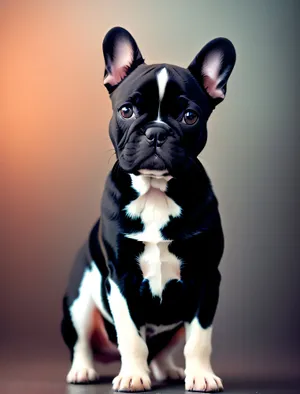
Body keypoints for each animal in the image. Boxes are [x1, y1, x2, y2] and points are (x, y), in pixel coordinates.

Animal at [60, 26, 234, 392]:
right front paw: (132, 376)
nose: (156, 131)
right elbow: (131, 336)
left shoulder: (205, 279)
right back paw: (82, 371)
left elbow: (199, 339)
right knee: (81, 342)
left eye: (189, 116)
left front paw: (201, 375)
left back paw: (169, 370)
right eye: (127, 111)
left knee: (166, 349)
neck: (155, 192)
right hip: (79, 304)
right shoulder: (121, 279)